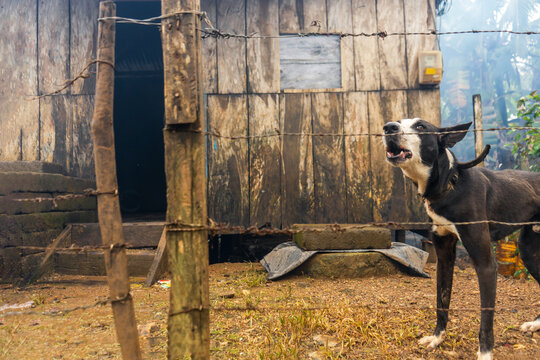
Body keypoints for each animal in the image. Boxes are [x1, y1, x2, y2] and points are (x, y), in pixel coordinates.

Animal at [384, 119, 540, 360]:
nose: (388, 127)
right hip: (528, 250)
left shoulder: (486, 264)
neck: (450, 184)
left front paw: (485, 354)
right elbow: (442, 301)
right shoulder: (444, 256)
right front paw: (437, 338)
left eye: (421, 127)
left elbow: (486, 318)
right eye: (398, 122)